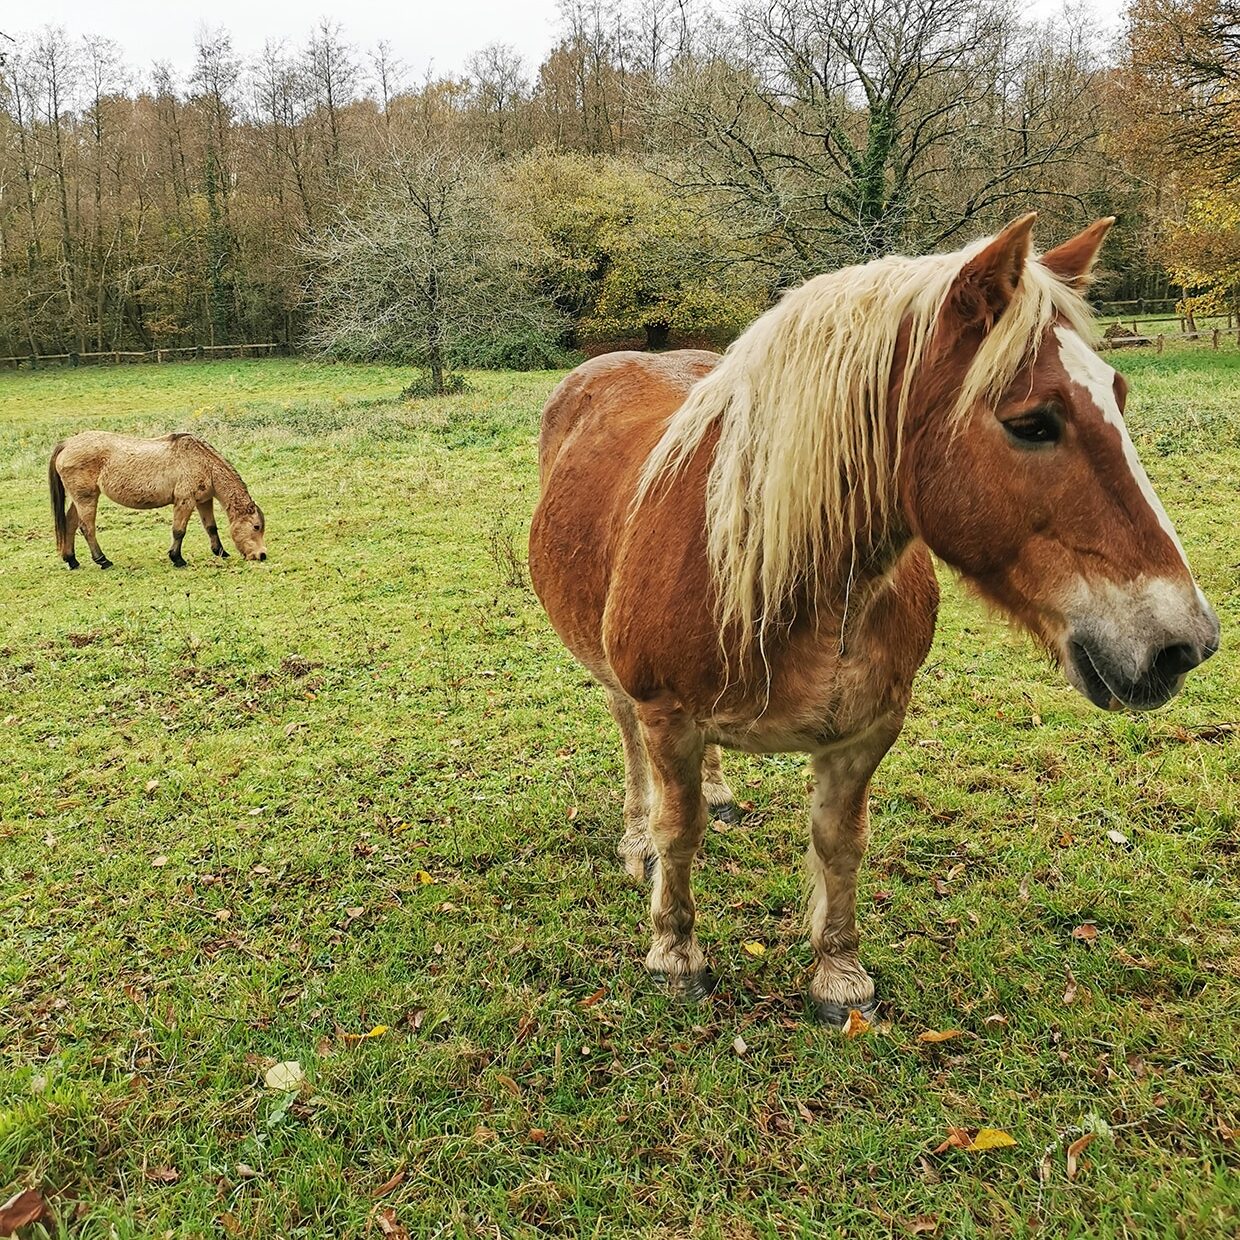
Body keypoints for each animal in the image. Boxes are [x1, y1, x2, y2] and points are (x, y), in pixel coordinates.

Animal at [49, 431, 267, 570]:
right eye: (256, 526)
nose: (261, 555)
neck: (202, 461)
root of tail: (67, 444)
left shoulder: (203, 501)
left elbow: (211, 528)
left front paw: (221, 552)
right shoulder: (185, 501)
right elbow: (179, 531)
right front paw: (177, 559)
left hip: (80, 498)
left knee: (70, 523)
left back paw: (72, 560)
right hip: (86, 498)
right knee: (87, 528)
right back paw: (103, 560)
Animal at [525, 215, 1220, 1026]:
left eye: (1119, 394)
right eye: (1032, 424)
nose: (1184, 644)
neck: (798, 588)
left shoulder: (869, 727)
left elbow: (840, 842)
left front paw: (839, 975)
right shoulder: (667, 713)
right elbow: (680, 830)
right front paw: (675, 953)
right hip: (618, 680)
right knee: (632, 745)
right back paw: (637, 838)